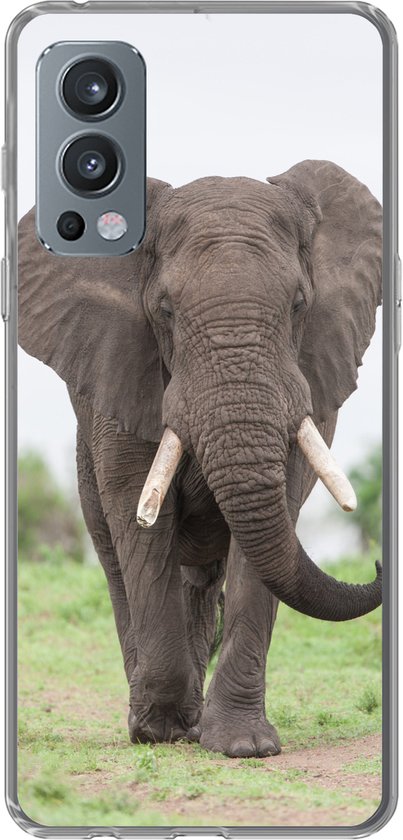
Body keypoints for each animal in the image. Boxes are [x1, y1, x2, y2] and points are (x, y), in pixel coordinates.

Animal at [18, 160, 382, 758]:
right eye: (164, 311)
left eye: (298, 306)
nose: (378, 564)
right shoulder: (123, 378)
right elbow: (139, 517)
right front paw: (158, 732)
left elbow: (275, 521)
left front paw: (243, 746)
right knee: (119, 562)